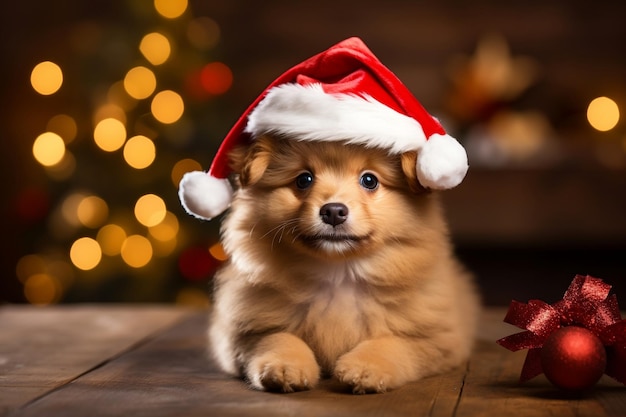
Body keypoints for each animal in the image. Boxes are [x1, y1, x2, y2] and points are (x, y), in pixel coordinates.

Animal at [206, 134, 478, 394]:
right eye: (303, 180)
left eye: (369, 180)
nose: (334, 211)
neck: (339, 272)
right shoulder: (245, 333)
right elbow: (277, 338)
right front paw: (285, 366)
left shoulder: (438, 338)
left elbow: (393, 343)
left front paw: (366, 368)